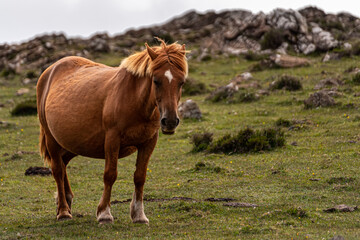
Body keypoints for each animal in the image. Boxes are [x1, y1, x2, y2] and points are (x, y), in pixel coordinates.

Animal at [36, 38, 188, 224]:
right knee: (57, 169)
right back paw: (64, 211)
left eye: (181, 82)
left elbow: (140, 177)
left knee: (63, 164)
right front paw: (104, 213)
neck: (134, 99)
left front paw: (139, 215)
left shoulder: (149, 142)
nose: (170, 121)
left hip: (73, 143)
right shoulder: (112, 140)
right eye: (156, 80)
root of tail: (50, 71)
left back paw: (64, 201)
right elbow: (110, 174)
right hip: (52, 139)